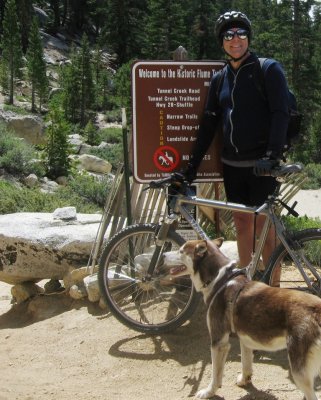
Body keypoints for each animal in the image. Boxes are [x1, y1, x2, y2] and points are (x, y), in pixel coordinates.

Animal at [162, 239, 320, 398]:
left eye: (181, 250)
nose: (163, 254)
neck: (220, 280)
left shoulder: (219, 342)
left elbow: (215, 375)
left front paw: (208, 392)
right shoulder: (245, 339)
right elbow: (246, 363)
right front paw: (245, 380)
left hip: (299, 373)